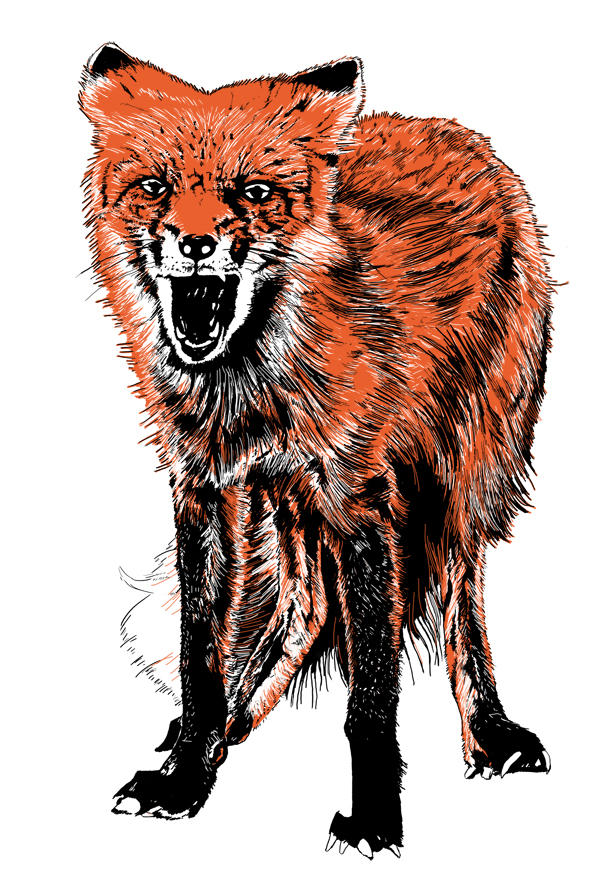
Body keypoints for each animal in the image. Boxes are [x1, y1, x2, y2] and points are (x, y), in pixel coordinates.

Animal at [79, 43, 552, 858]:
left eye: (253, 193)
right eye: (155, 188)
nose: (196, 244)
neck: (247, 390)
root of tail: (467, 139)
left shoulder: (363, 505)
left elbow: (371, 700)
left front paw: (375, 820)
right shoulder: (204, 489)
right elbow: (200, 654)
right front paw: (188, 773)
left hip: (462, 472)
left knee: (459, 593)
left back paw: (489, 733)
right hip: (292, 499)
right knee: (303, 607)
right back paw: (222, 729)